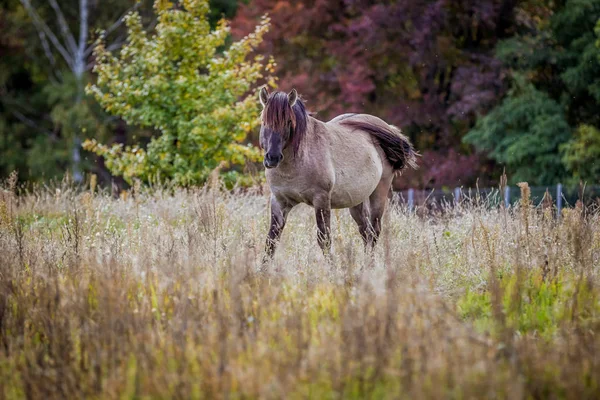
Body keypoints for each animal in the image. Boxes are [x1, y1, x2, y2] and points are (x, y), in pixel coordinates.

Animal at [258, 86, 418, 260]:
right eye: (263, 121)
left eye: (288, 122)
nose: (272, 158)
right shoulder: (279, 201)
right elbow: (271, 241)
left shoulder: (321, 200)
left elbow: (324, 240)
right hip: (357, 200)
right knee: (365, 231)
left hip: (379, 192)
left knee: (374, 231)